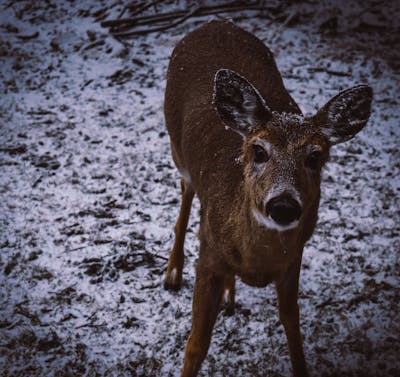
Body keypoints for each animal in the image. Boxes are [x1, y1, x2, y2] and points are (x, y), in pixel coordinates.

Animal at [162, 19, 372, 376]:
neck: (257, 261)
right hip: (177, 147)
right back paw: (173, 272)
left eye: (315, 157)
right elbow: (196, 345)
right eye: (259, 151)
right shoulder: (209, 258)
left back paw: (229, 295)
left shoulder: (293, 260)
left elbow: (293, 327)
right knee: (186, 192)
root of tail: (213, 21)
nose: (284, 206)